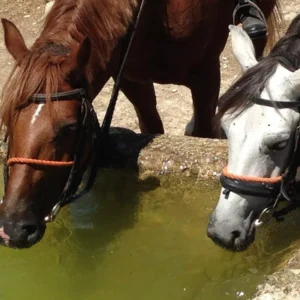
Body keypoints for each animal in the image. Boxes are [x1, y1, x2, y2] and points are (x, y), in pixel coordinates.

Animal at [1, 0, 280, 248]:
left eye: (69, 126)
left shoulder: (205, 74)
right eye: (7, 119)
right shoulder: (131, 78)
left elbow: (203, 131)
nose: (13, 227)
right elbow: (151, 127)